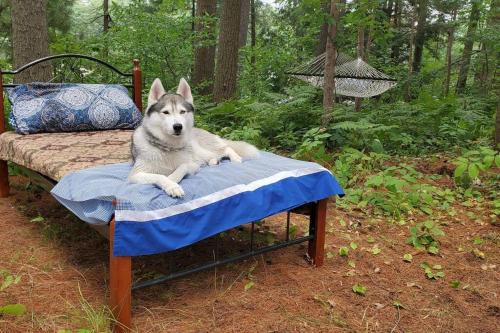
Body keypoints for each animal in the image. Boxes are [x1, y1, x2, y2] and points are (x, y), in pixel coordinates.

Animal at [129, 78, 260, 197]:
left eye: (182, 112)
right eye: (166, 112)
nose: (178, 126)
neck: (169, 147)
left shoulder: (193, 165)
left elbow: (182, 167)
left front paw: (172, 179)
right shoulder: (136, 175)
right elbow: (159, 176)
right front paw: (171, 185)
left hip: (202, 150)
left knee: (226, 148)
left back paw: (235, 158)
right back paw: (214, 162)